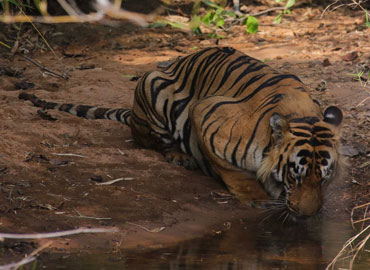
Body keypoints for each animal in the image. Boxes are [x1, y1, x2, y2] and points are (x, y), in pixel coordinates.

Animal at [18, 47, 342, 219]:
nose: (309, 215)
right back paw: (179, 156)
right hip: (152, 84)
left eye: (324, 178)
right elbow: (232, 171)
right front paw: (256, 197)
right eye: (295, 176)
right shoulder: (205, 115)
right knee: (148, 141)